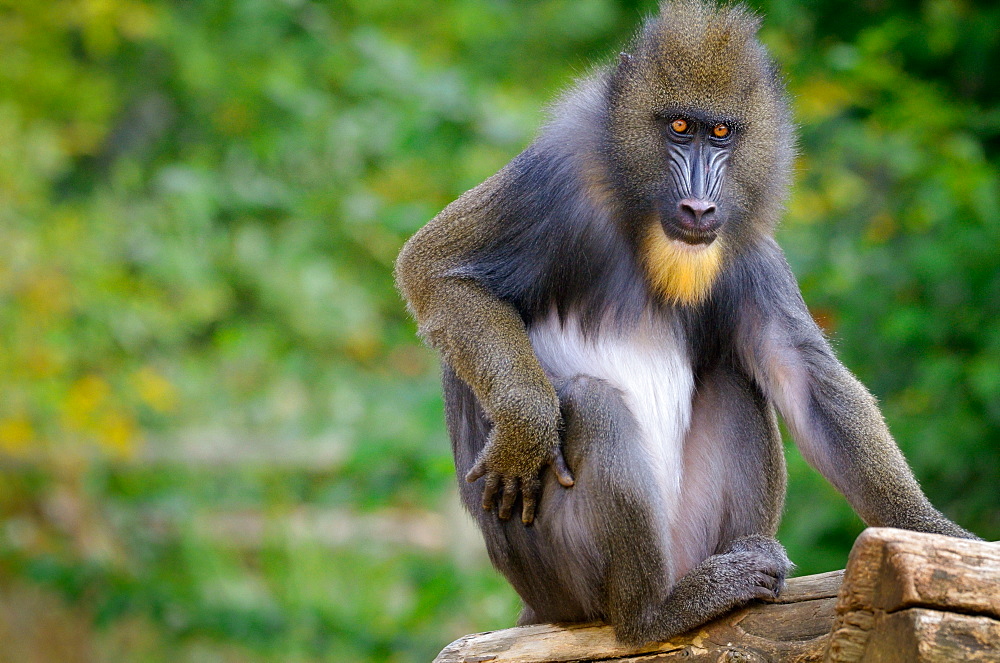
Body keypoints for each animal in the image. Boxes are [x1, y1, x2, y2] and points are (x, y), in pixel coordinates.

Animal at [390, 0, 976, 644]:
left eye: (720, 133)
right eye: (677, 128)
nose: (698, 206)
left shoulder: (747, 250)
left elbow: (801, 378)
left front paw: (936, 535)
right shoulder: (549, 187)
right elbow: (436, 272)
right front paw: (527, 427)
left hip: (688, 537)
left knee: (735, 381)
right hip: (563, 576)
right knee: (592, 408)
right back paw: (654, 613)